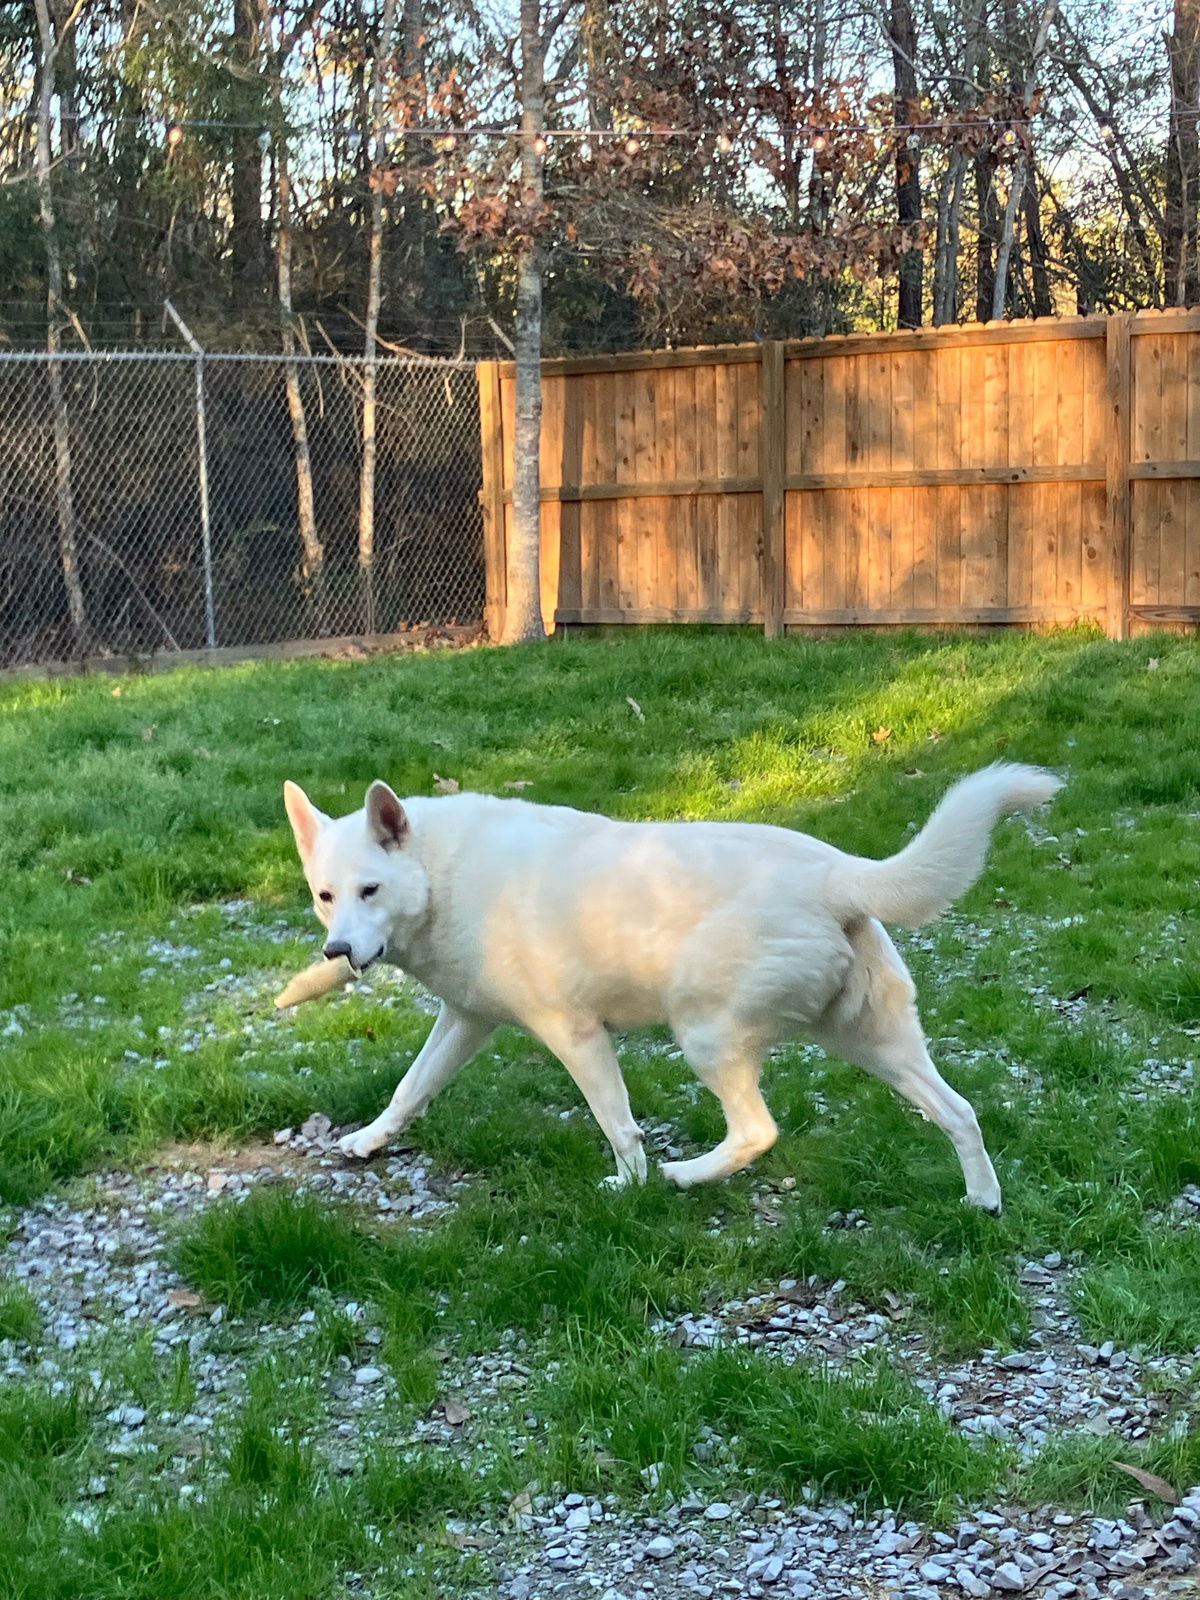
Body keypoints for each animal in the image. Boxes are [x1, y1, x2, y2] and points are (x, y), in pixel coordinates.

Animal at [281, 764, 1062, 1209]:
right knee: (960, 1112)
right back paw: (982, 1201)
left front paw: (629, 1186)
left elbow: (618, 1124)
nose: (337, 951)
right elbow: (410, 1088)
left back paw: (684, 1176)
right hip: (877, 1046)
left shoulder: (575, 1033)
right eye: (326, 896)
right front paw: (368, 1142)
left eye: (371, 890)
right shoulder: (466, 1019)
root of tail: (836, 872)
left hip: (706, 1037)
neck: (441, 875)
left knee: (757, 1131)